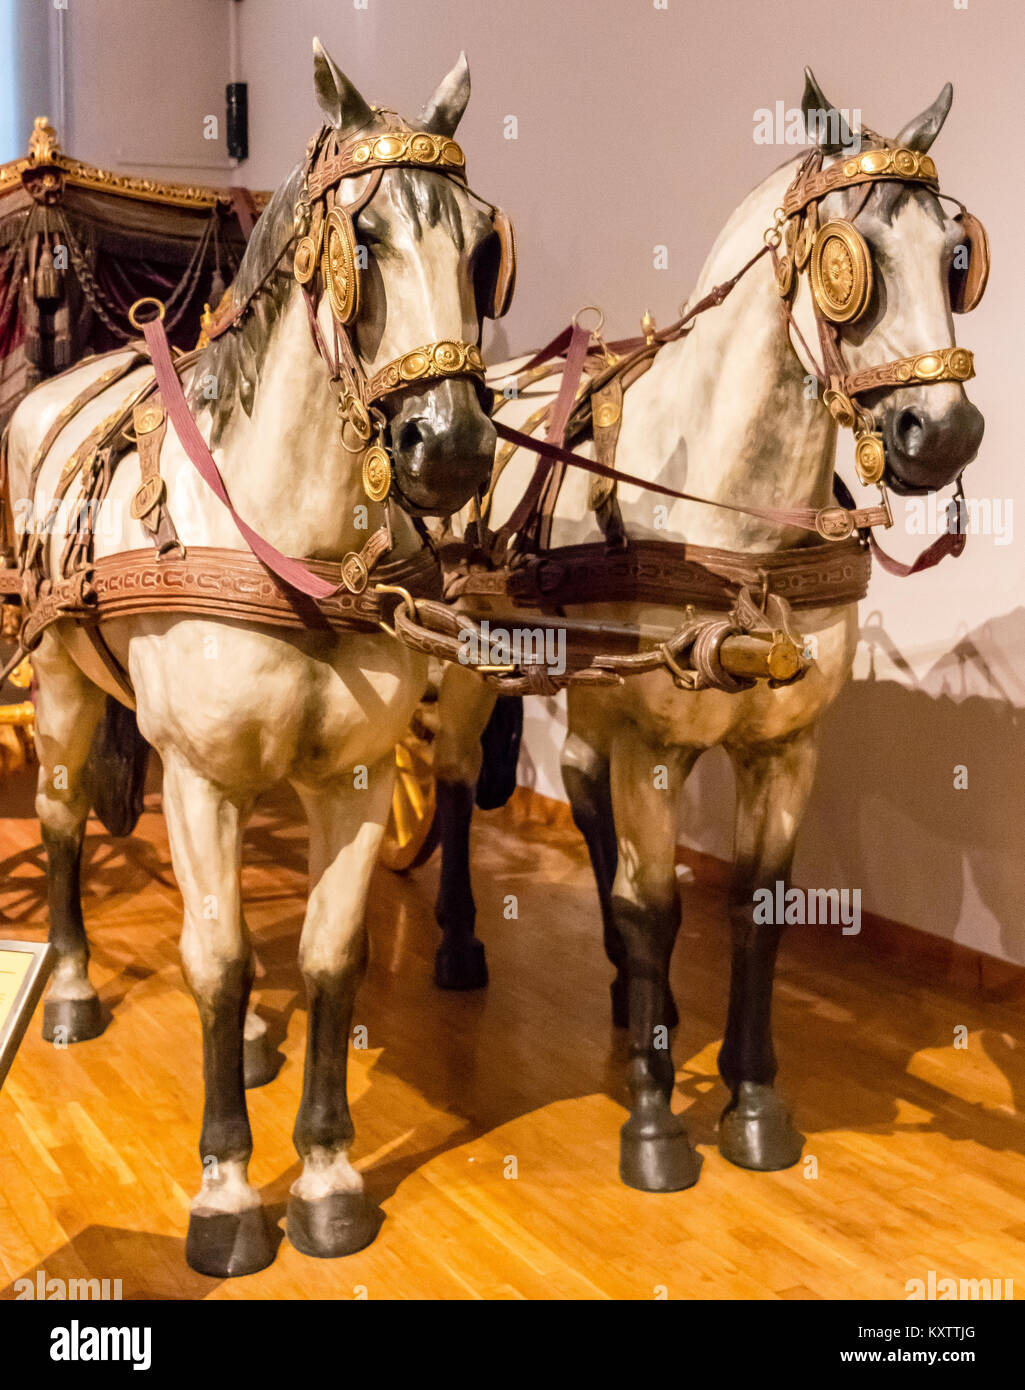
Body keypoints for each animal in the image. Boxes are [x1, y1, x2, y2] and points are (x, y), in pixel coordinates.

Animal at [6, 43, 503, 1273]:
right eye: (363, 240)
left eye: (482, 246)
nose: (451, 447)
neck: (286, 543)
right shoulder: (198, 779)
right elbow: (220, 960)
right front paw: (228, 1190)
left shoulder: (357, 779)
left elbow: (324, 957)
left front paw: (325, 1173)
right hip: (59, 686)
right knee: (62, 815)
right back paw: (70, 983)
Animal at [425, 70, 984, 1189]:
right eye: (847, 259)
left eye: (956, 256)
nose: (940, 433)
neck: (734, 516)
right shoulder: (651, 738)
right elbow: (657, 907)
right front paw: (653, 1120)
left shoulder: (781, 744)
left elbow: (752, 907)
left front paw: (752, 1098)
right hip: (472, 661)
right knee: (460, 782)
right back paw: (461, 943)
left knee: (581, 790)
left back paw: (623, 985)